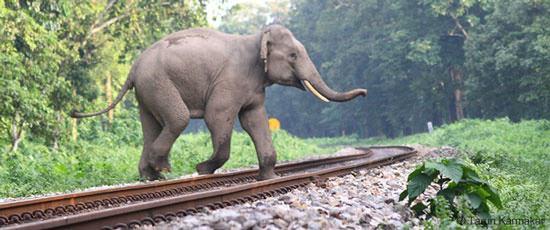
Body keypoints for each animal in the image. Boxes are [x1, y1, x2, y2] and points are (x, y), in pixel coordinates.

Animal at [71, 24, 368, 181]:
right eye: (294, 55)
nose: (365, 93)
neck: (256, 38)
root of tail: (134, 67)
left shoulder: (253, 89)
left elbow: (254, 120)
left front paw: (268, 179)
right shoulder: (230, 82)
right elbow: (218, 117)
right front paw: (202, 169)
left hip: (147, 90)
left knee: (152, 124)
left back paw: (151, 177)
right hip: (157, 82)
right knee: (177, 118)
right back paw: (163, 168)